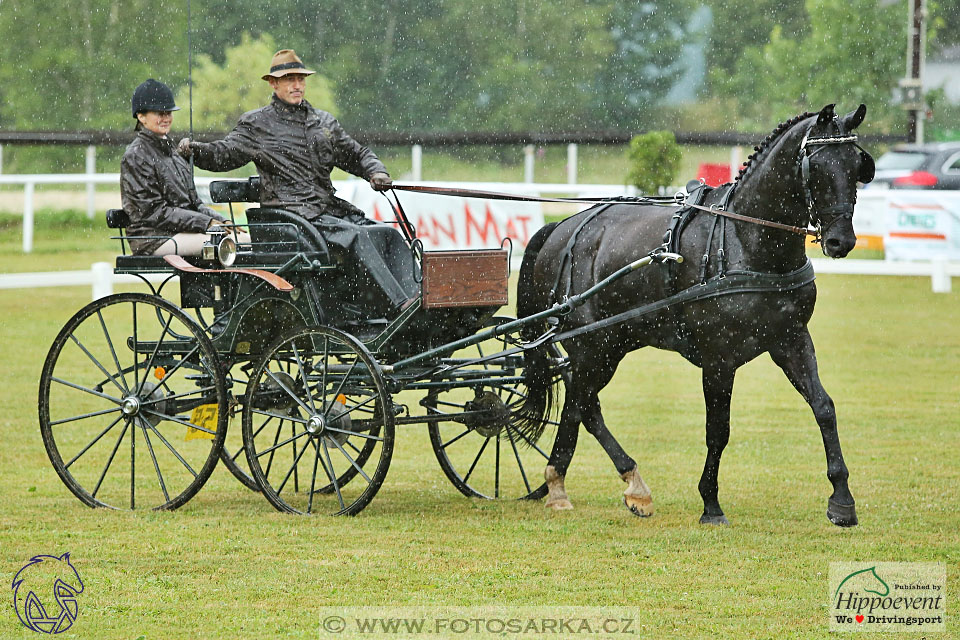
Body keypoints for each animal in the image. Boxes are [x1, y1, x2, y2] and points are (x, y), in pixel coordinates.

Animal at [516, 104, 876, 524]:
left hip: (613, 342)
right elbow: (718, 429)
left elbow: (824, 407)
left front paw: (842, 500)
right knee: (583, 403)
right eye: (815, 166)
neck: (746, 242)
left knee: (580, 403)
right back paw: (597, 483)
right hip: (593, 345)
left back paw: (580, 483)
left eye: (856, 165)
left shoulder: (791, 339)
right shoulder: (718, 357)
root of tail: (562, 227)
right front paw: (711, 504)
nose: (840, 240)